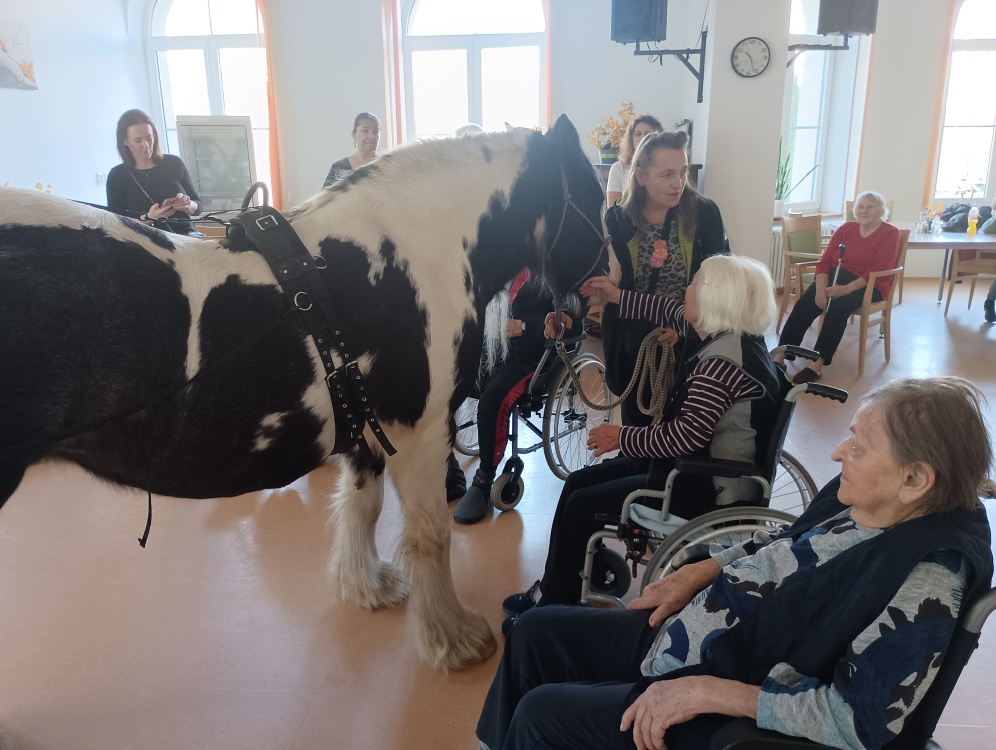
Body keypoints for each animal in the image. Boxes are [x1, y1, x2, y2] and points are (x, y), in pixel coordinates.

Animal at [0, 114, 607, 671]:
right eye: (596, 195)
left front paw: (366, 587)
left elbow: (363, 507)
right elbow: (431, 534)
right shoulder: (419, 430)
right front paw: (454, 639)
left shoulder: (367, 430)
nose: (602, 289)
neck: (409, 251)